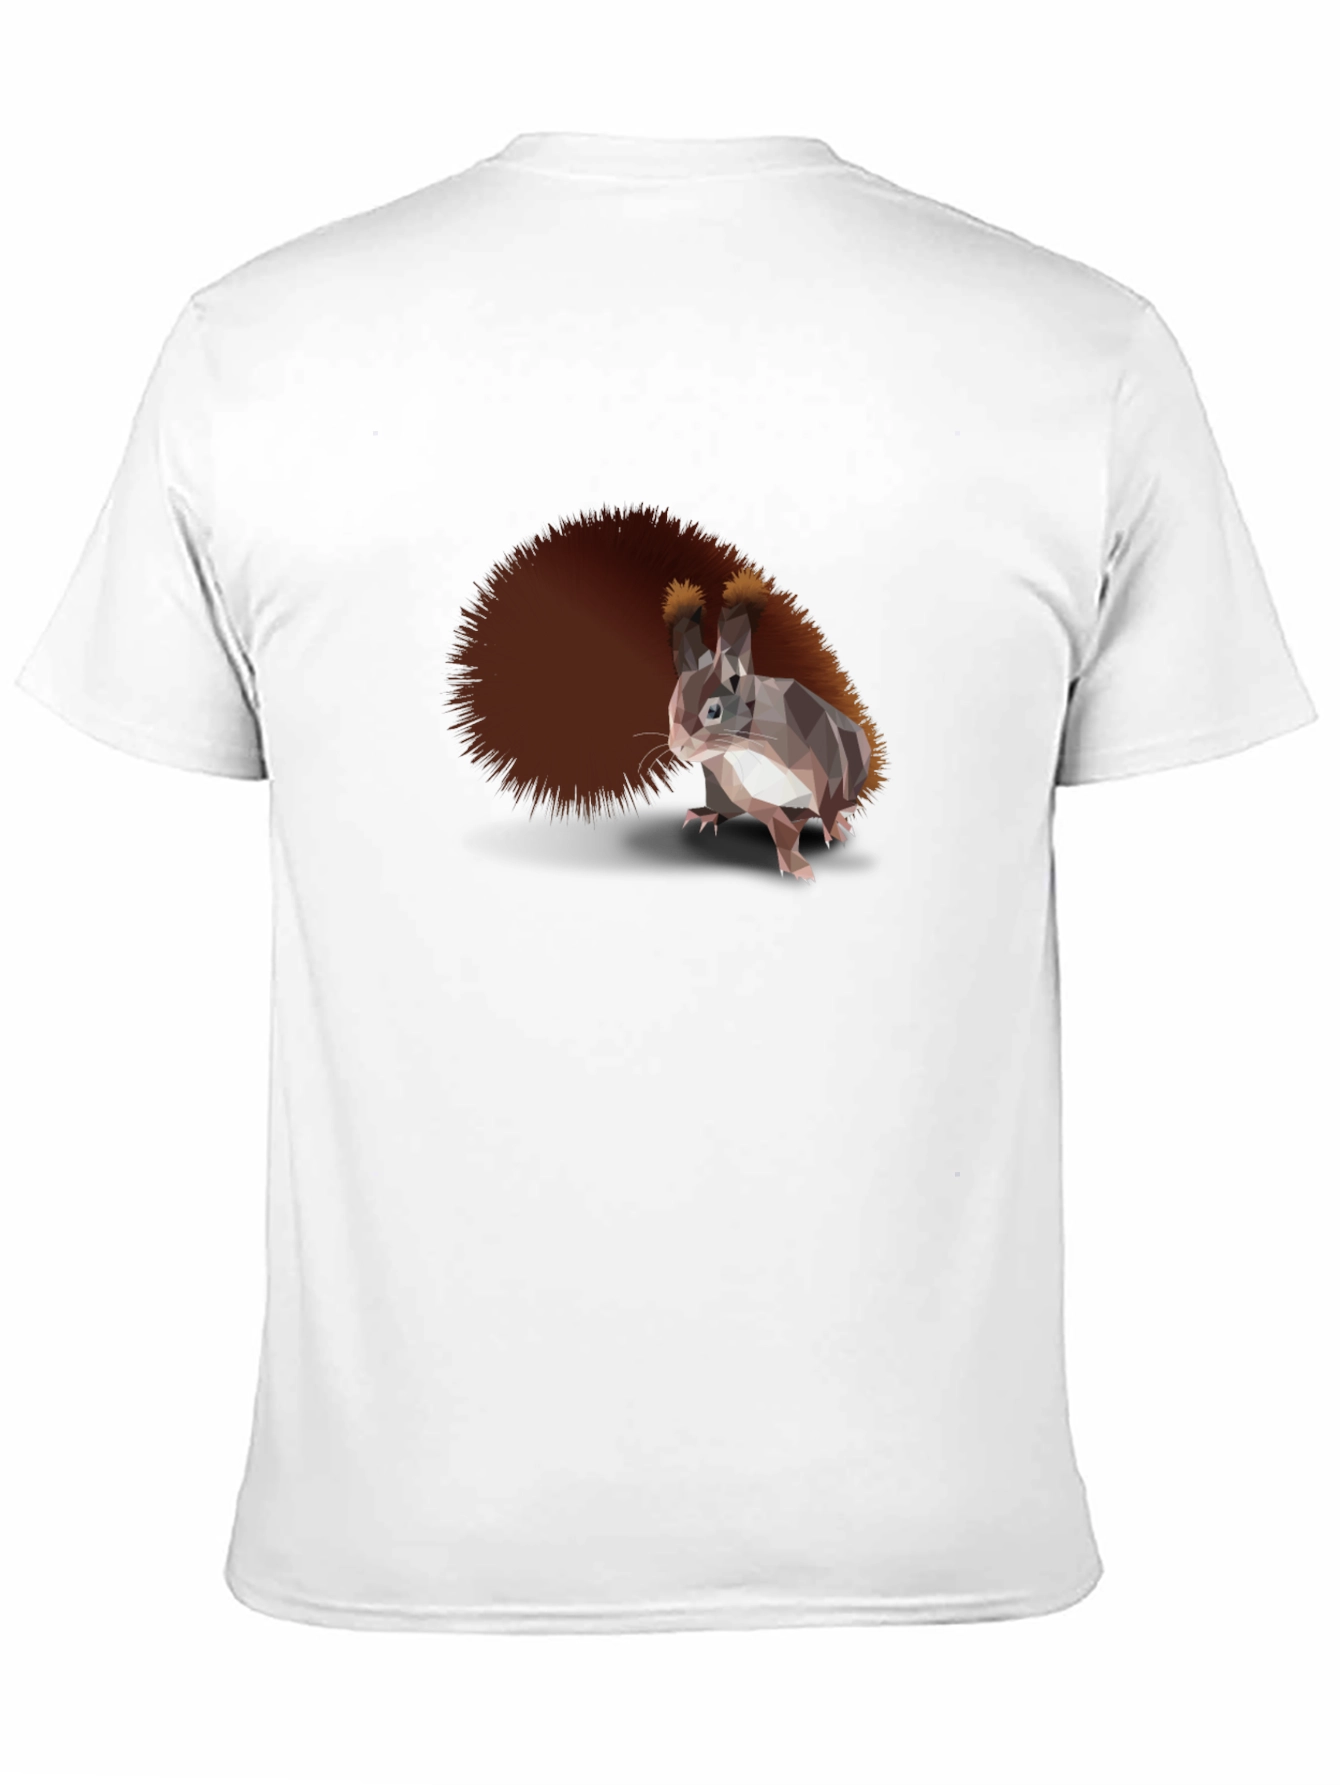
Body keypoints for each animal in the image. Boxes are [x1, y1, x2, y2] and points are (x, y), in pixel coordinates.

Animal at [446, 503, 885, 881]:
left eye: (714, 711)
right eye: (671, 706)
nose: (679, 748)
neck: (745, 749)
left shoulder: (820, 751)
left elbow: (824, 800)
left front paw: (829, 826)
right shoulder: (744, 792)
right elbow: (778, 826)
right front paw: (794, 861)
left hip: (854, 749)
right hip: (720, 789)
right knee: (735, 809)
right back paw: (708, 814)